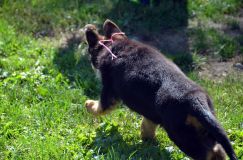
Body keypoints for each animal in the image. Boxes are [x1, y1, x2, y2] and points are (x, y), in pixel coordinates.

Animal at [83, 20, 237, 160]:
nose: (91, 64)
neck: (113, 46)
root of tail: (195, 101)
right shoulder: (150, 112)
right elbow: (147, 125)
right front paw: (147, 140)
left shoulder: (109, 90)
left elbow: (100, 106)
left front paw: (89, 104)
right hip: (203, 130)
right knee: (217, 150)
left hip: (182, 136)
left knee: (207, 153)